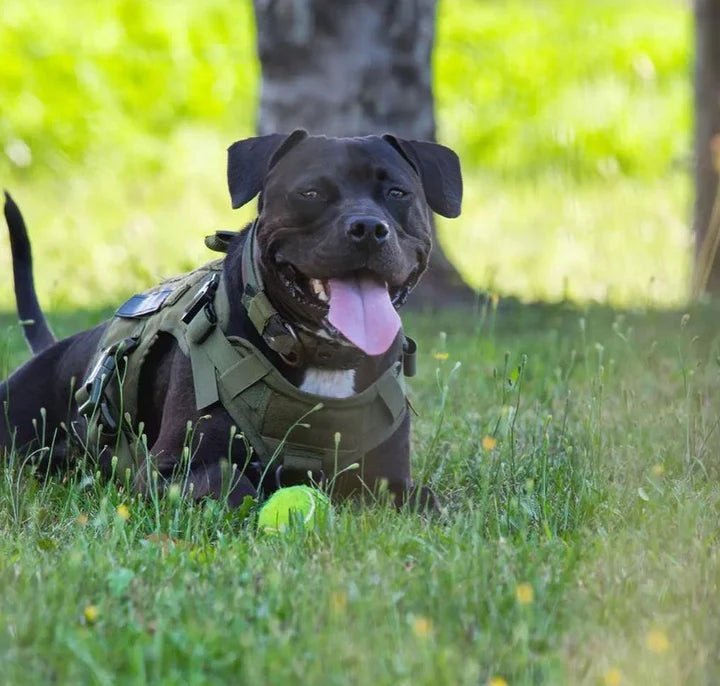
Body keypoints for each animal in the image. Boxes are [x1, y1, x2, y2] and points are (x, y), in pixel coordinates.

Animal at [1, 132, 462, 508]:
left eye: (398, 192)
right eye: (310, 192)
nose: (367, 227)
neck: (319, 355)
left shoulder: (390, 478)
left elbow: (424, 500)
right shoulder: (168, 468)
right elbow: (231, 483)